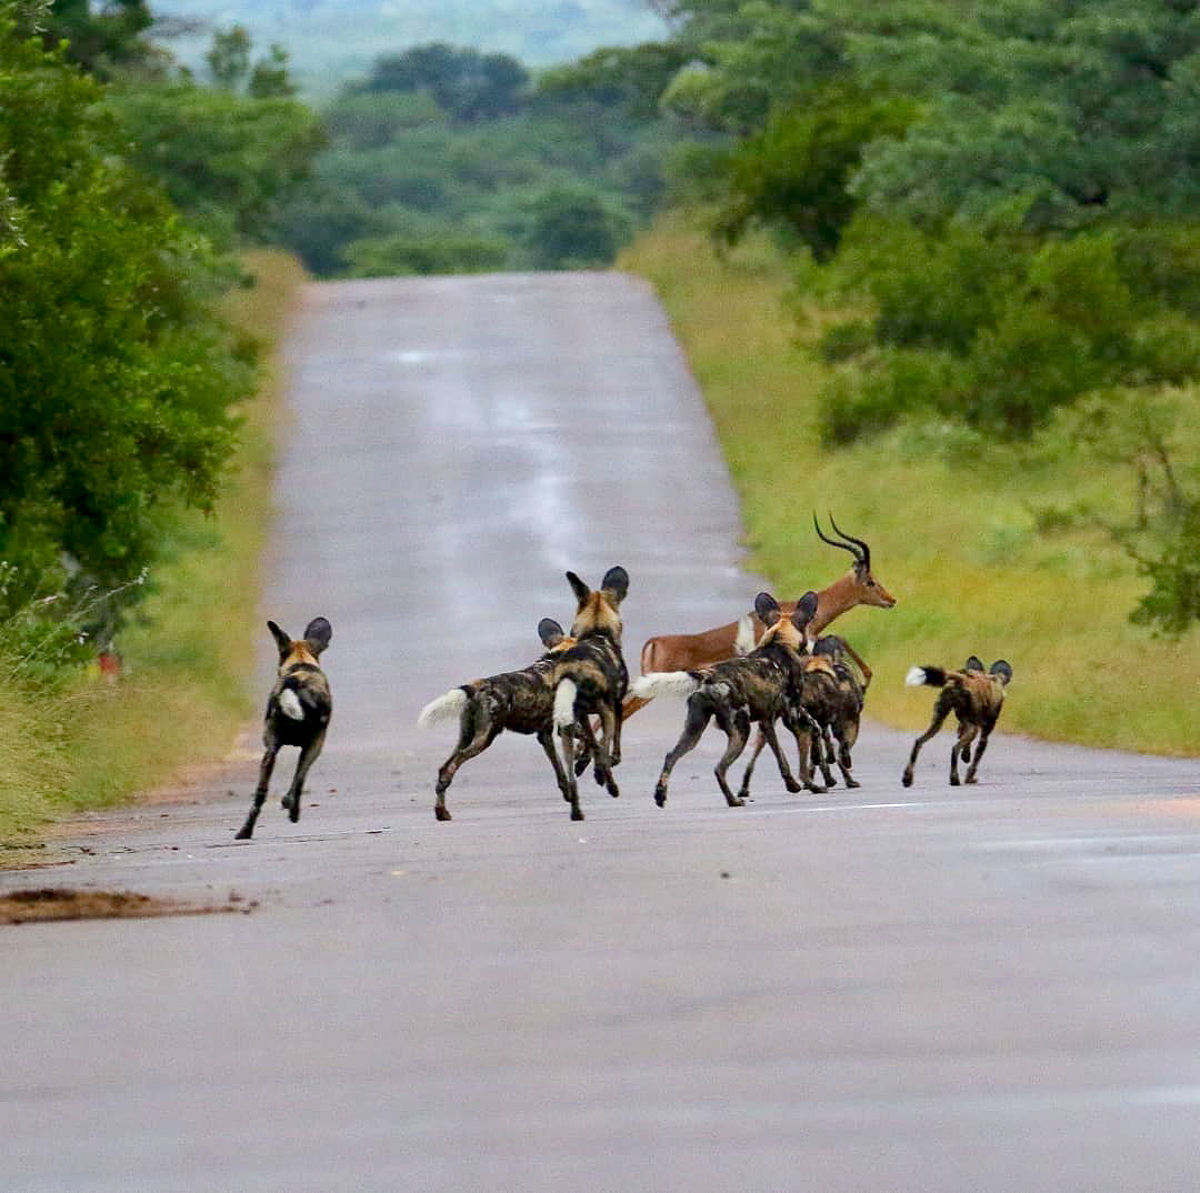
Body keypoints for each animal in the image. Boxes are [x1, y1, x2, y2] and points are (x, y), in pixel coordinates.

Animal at [236, 617, 332, 840]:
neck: (301, 663)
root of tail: (296, 683)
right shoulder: (314, 746)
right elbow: (299, 781)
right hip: (312, 747)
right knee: (297, 782)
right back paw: (290, 809)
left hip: (270, 753)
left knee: (260, 794)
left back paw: (245, 831)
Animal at [417, 618, 580, 821]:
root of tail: (479, 685)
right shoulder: (561, 728)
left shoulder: (545, 734)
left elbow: (559, 770)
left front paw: (568, 793)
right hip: (484, 739)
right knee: (451, 767)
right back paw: (442, 811)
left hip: (466, 736)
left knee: (444, 768)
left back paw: (442, 812)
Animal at [550, 567, 629, 821]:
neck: (597, 631)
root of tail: (573, 670)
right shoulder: (616, 707)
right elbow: (608, 747)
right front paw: (602, 768)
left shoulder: (580, 717)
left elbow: (587, 741)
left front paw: (583, 763)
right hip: (606, 712)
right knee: (601, 748)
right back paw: (609, 783)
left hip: (567, 727)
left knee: (570, 776)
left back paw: (576, 810)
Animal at [632, 591, 821, 809]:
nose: (813, 645)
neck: (779, 641)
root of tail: (709, 675)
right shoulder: (788, 717)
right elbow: (789, 759)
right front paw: (800, 785)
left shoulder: (769, 721)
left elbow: (799, 745)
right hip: (741, 731)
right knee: (719, 768)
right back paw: (733, 800)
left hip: (694, 732)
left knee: (671, 756)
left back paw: (661, 795)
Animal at [902, 657, 1013, 787]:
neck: (995, 679)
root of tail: (962, 678)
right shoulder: (984, 731)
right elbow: (976, 758)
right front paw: (969, 778)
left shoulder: (964, 724)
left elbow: (965, 743)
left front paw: (966, 756)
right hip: (973, 729)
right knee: (955, 749)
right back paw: (954, 779)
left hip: (938, 722)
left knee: (918, 742)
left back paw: (907, 778)